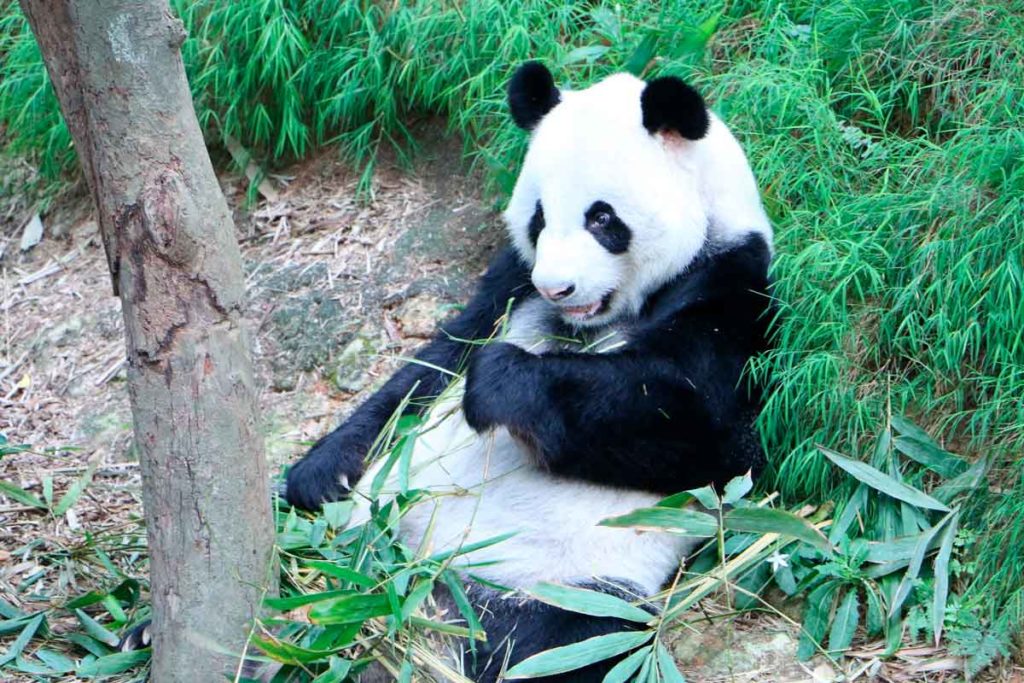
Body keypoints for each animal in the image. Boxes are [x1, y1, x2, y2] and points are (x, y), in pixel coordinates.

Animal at [285, 61, 774, 682]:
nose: (556, 288)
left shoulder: (732, 287)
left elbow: (706, 433)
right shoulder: (510, 281)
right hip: (364, 533)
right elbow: (431, 366)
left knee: (567, 640)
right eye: (539, 218)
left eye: (602, 218)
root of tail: (418, 589)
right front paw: (321, 472)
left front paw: (500, 383)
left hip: (561, 582)